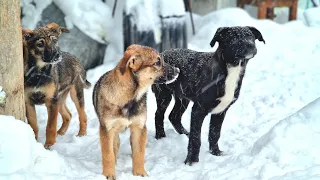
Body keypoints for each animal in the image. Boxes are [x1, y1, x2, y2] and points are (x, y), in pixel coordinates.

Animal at [92, 44, 180, 179]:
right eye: (157, 62)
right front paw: (108, 175)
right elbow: (108, 155)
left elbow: (139, 153)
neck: (130, 98)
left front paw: (139, 173)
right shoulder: (107, 130)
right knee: (115, 147)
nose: (178, 71)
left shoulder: (139, 127)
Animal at [152, 26, 264, 165]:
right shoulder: (198, 109)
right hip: (164, 95)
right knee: (159, 115)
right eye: (233, 37)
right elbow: (196, 138)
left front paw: (216, 153)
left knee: (174, 116)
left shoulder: (221, 111)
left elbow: (214, 133)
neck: (231, 68)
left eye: (250, 36)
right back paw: (161, 137)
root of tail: (162, 54)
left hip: (183, 98)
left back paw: (184, 133)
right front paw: (191, 161)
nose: (250, 45)